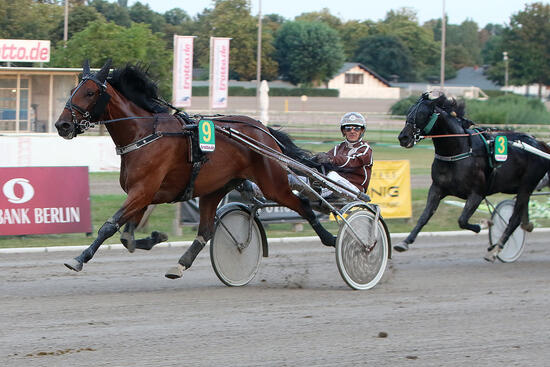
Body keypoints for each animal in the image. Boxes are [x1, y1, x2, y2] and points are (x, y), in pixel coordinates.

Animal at [54, 61, 336, 278]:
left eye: (90, 92)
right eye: (73, 89)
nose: (62, 125)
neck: (144, 134)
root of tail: (262, 129)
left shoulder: (142, 191)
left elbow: (110, 226)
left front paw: (79, 258)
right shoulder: (143, 194)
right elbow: (127, 237)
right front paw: (155, 237)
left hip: (273, 184)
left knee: (304, 205)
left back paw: (332, 239)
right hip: (214, 188)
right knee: (206, 230)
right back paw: (180, 265)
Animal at [396, 93, 550, 264]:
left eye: (422, 114)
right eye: (409, 112)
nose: (403, 137)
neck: (458, 151)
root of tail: (540, 144)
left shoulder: (477, 193)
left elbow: (462, 220)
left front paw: (484, 224)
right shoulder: (437, 188)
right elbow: (424, 216)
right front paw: (405, 242)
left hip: (526, 186)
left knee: (514, 219)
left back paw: (496, 249)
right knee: (521, 217)